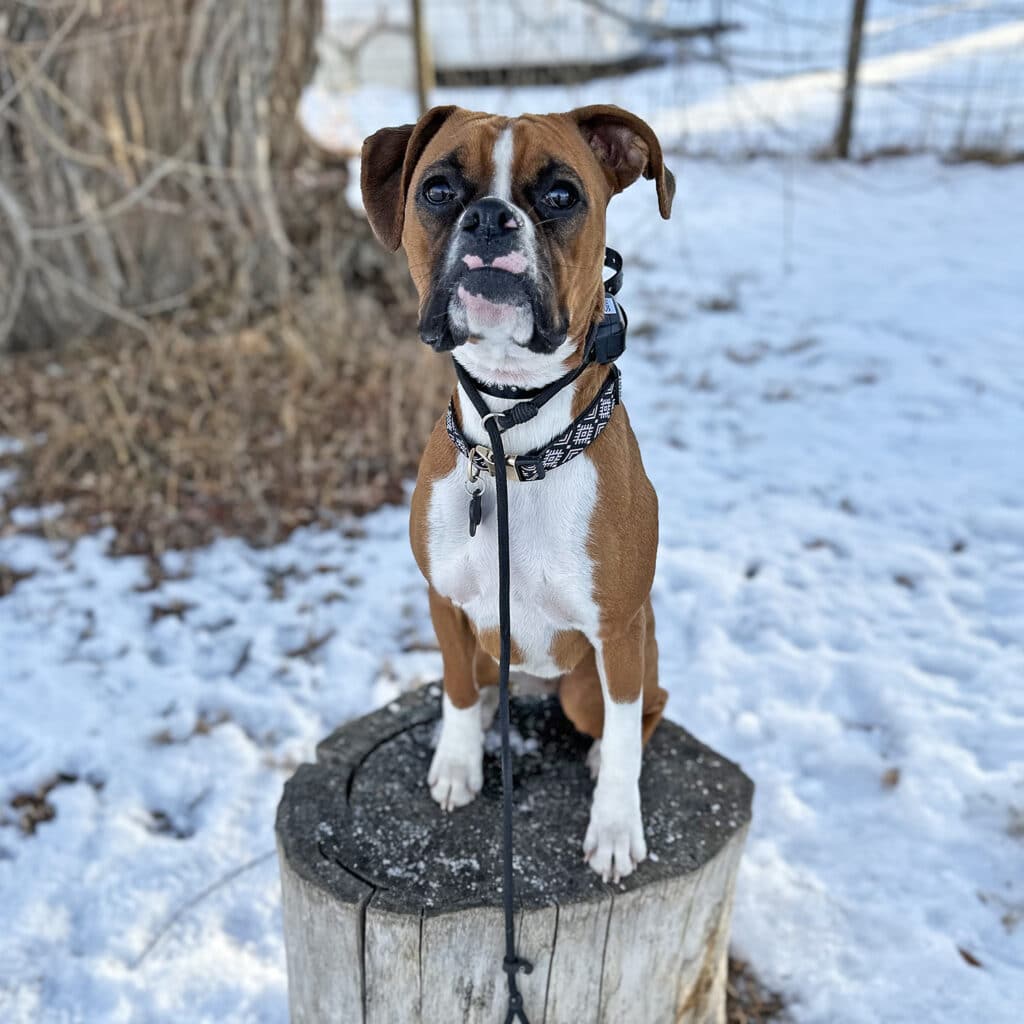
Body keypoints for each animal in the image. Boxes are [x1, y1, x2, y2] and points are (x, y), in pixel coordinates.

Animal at [364, 105, 675, 888]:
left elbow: (624, 735)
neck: (513, 444)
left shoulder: (617, 631)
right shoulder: (446, 604)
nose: (489, 220)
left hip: (597, 678)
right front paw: (457, 764)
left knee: (644, 709)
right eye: (438, 190)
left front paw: (615, 826)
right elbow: (454, 687)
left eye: (562, 195)